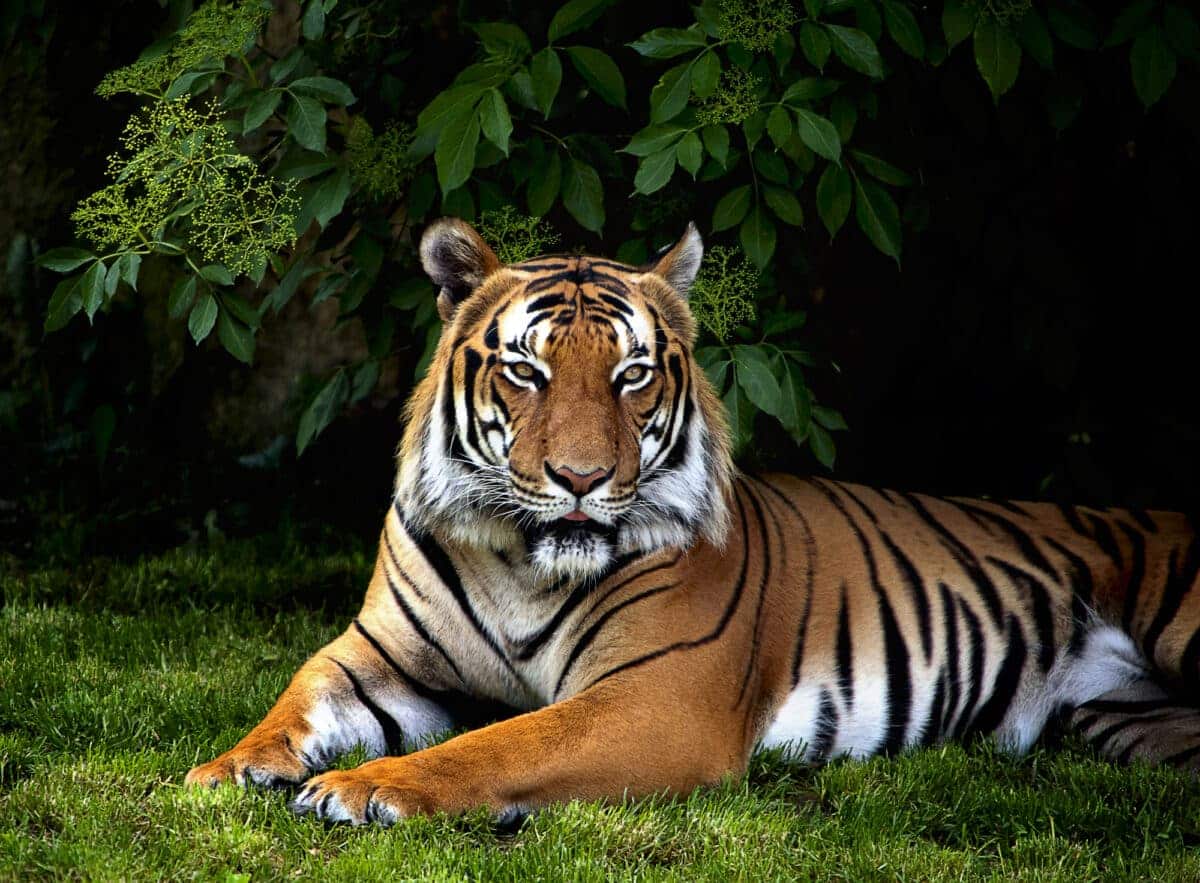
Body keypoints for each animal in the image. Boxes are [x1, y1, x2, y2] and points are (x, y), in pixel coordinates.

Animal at [184, 217, 1200, 825]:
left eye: (632, 373)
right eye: (528, 370)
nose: (582, 478)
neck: (520, 562)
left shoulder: (657, 697)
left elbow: (497, 742)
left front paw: (365, 788)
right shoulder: (378, 654)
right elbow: (297, 696)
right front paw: (228, 768)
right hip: (1134, 726)